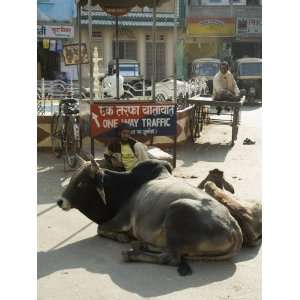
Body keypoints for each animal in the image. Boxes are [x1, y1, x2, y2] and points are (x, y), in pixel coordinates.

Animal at [56, 158, 244, 276]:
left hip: (177, 209)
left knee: (170, 258)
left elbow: (100, 228)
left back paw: (132, 254)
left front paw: (121, 237)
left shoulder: (122, 219)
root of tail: (234, 228)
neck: (123, 186)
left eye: (81, 183)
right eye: (72, 179)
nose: (60, 201)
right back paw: (144, 245)